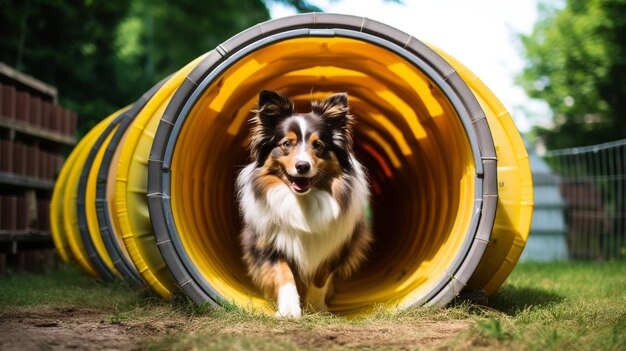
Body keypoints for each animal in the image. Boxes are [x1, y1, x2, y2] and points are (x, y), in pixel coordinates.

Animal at [234, 88, 370, 320]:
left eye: (318, 145)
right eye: (287, 144)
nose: (302, 166)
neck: (301, 201)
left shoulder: (336, 246)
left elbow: (320, 278)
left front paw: (315, 308)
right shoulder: (268, 244)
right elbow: (284, 274)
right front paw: (289, 310)